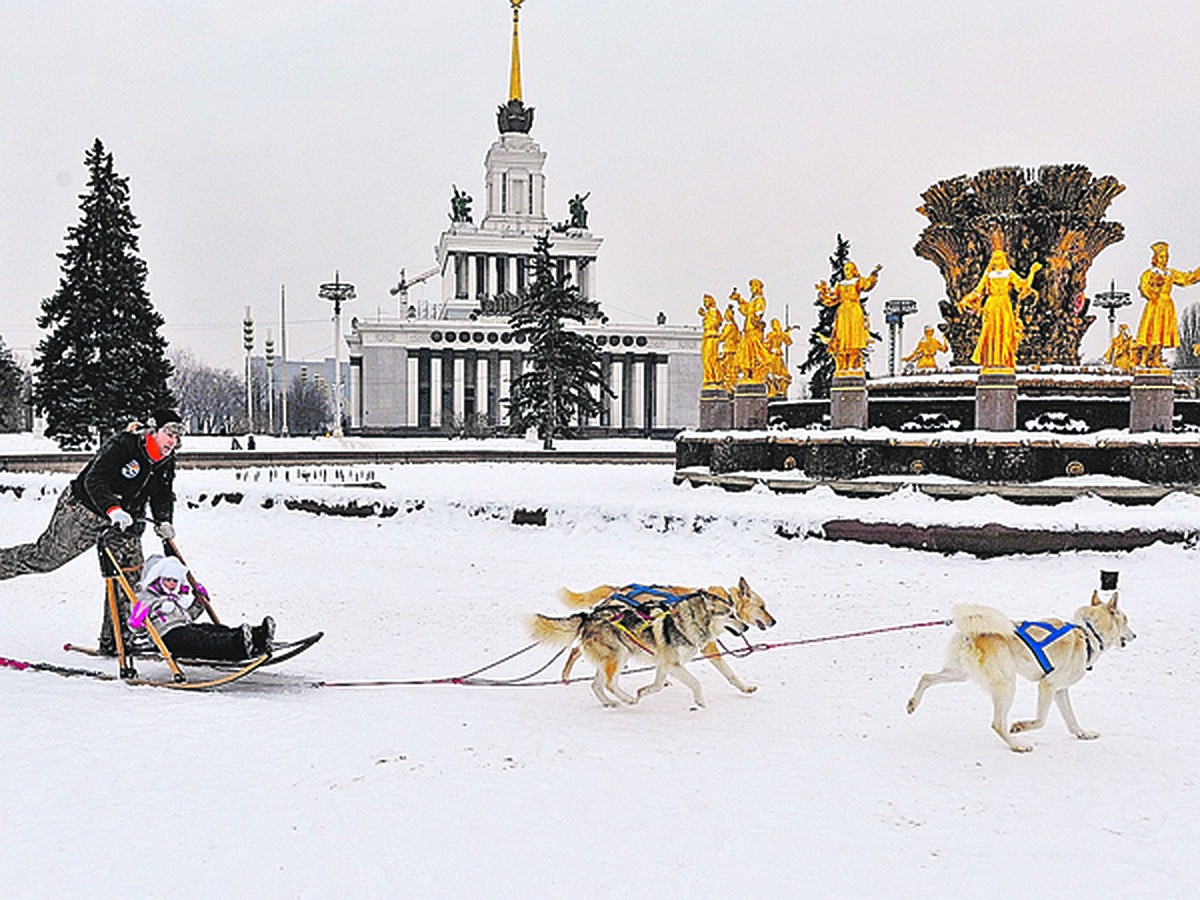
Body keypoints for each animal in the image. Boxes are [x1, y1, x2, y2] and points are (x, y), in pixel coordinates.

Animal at [528, 578, 772, 710]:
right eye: (762, 607)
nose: (774, 621)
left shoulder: (666, 663)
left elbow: (657, 683)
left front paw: (644, 690)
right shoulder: (688, 657)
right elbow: (713, 677)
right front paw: (704, 700)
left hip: (615, 655)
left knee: (596, 681)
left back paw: (612, 701)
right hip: (619, 654)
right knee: (598, 671)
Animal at [907, 592, 1132, 753]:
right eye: (1126, 621)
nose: (1135, 635)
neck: (1088, 633)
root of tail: (973, 632)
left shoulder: (1060, 690)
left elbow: (1071, 720)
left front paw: (1083, 734)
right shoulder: (1048, 685)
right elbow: (1041, 720)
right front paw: (1020, 726)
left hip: (959, 674)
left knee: (926, 677)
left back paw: (912, 704)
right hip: (1007, 685)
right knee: (997, 724)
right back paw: (1017, 744)